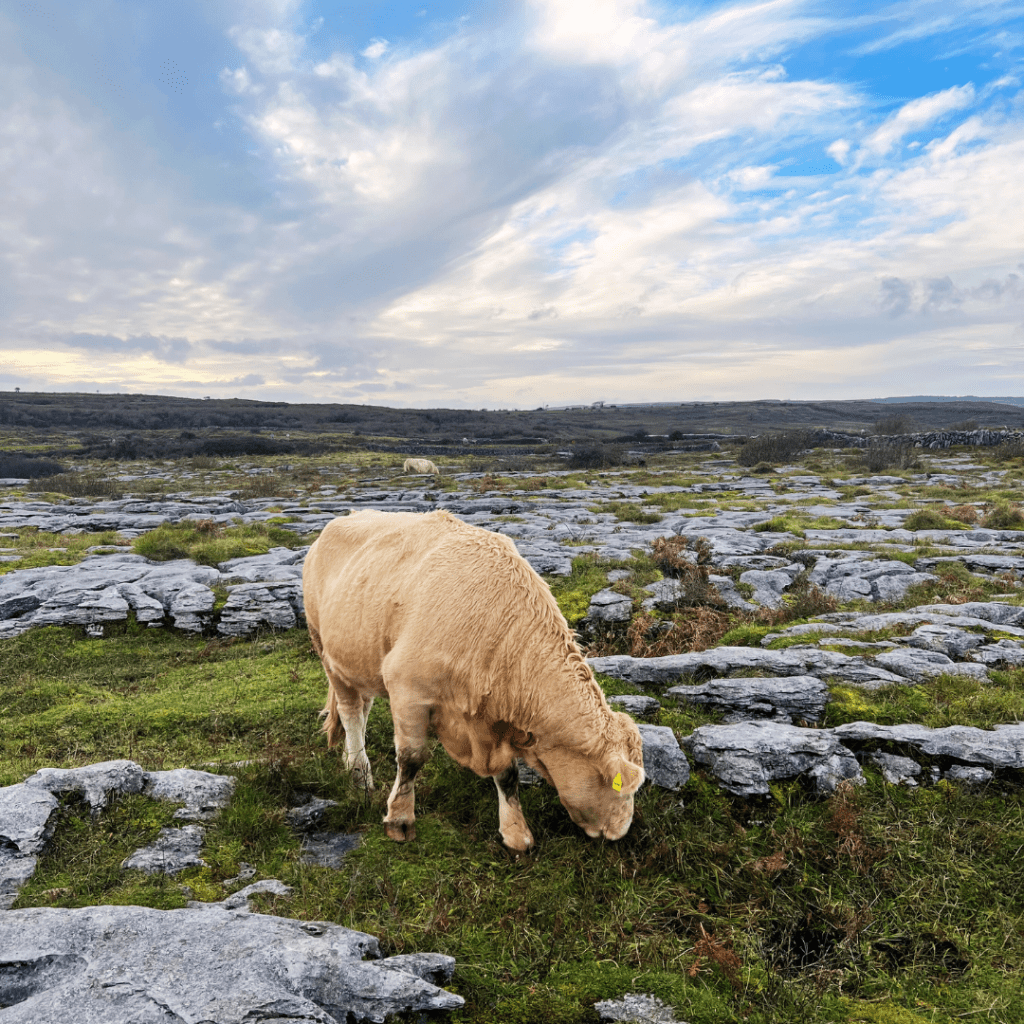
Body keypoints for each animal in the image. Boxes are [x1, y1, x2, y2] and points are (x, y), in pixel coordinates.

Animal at [302, 509, 645, 852]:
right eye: (622, 787)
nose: (621, 832)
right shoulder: (406, 688)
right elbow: (411, 758)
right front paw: (399, 820)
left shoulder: (494, 721)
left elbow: (508, 775)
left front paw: (516, 832)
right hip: (324, 649)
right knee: (350, 712)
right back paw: (360, 775)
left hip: (361, 659)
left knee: (362, 708)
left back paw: (350, 760)